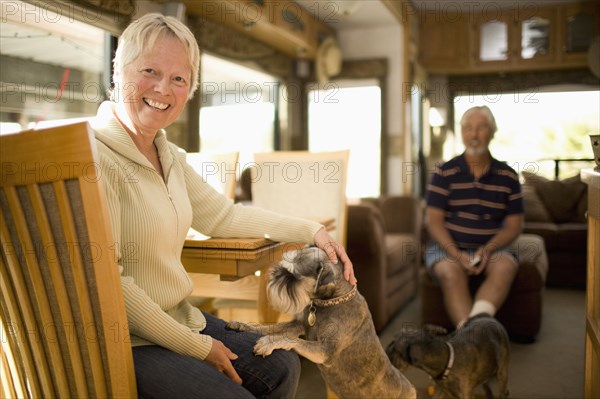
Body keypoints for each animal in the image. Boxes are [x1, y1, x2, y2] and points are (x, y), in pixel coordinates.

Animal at [227, 247, 414, 399]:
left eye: (293, 276)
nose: (270, 276)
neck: (331, 302)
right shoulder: (296, 325)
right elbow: (270, 328)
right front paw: (242, 325)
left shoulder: (325, 351)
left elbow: (294, 340)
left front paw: (267, 343)